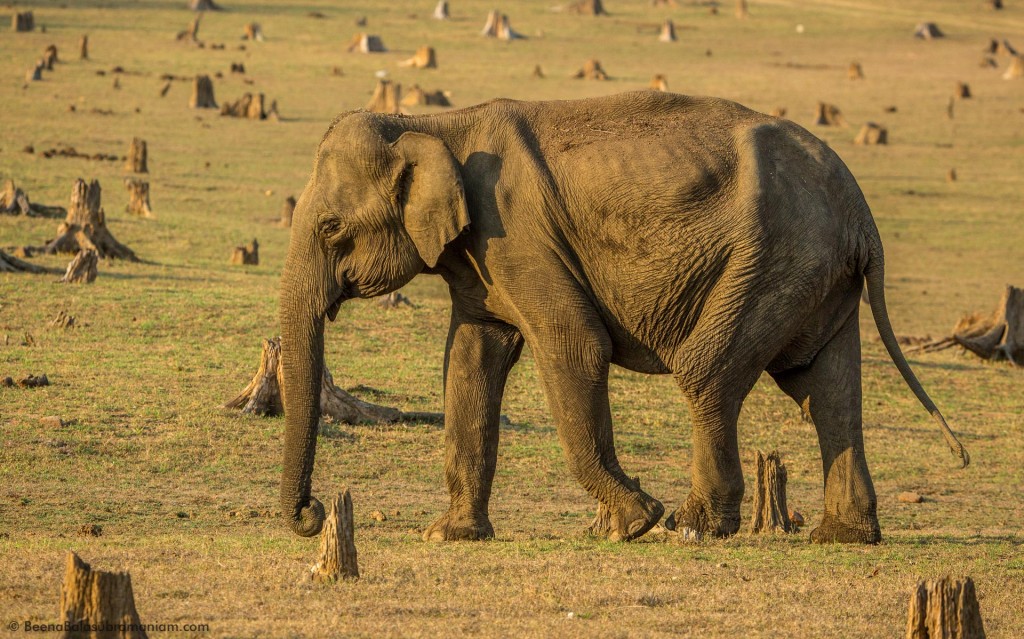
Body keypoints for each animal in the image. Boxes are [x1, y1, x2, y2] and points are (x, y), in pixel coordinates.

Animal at [278, 91, 966, 544]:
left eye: (332, 229)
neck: (433, 123)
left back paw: (692, 527)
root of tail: (861, 212)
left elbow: (573, 345)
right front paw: (451, 535)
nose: (311, 515)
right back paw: (843, 536)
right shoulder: (482, 259)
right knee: (824, 387)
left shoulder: (518, 235)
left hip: (773, 257)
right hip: (817, 273)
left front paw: (636, 522)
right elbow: (471, 358)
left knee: (709, 373)